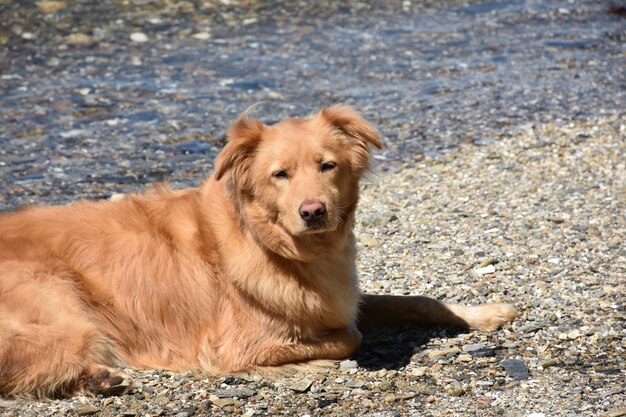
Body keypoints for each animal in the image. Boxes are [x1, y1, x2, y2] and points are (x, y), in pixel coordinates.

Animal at [0, 106, 516, 396]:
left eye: (327, 166)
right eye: (279, 174)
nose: (313, 211)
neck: (285, 249)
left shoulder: (343, 299)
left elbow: (417, 300)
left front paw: (485, 313)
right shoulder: (236, 343)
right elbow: (348, 337)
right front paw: (310, 362)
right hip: (68, 315)